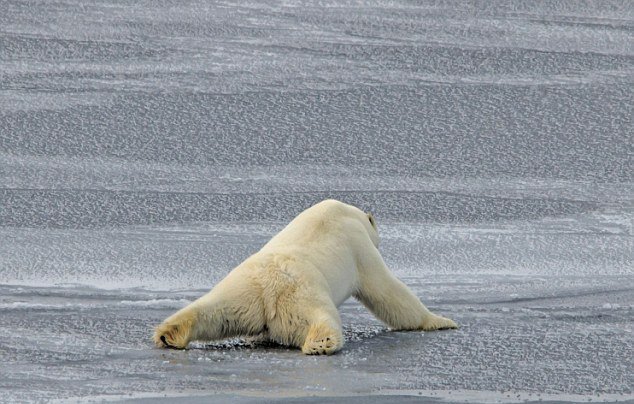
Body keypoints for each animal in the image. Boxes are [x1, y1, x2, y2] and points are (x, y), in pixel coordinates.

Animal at [153, 199, 454, 354]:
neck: (344, 212)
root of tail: (269, 291)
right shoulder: (360, 248)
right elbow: (386, 289)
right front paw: (440, 321)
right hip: (303, 294)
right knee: (321, 317)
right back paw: (321, 343)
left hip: (241, 291)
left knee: (212, 311)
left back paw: (170, 334)